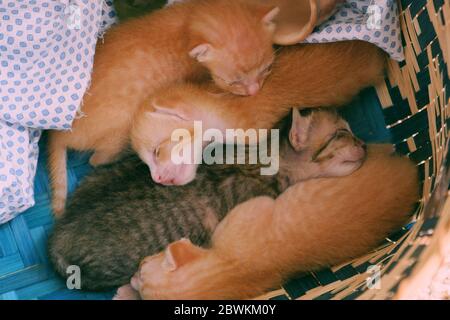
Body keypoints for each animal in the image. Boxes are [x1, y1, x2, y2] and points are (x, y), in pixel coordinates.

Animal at [50, 0, 282, 216]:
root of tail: (59, 133)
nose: (254, 91)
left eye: (267, 68)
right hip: (118, 134)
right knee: (95, 160)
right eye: (233, 82)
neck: (189, 21)